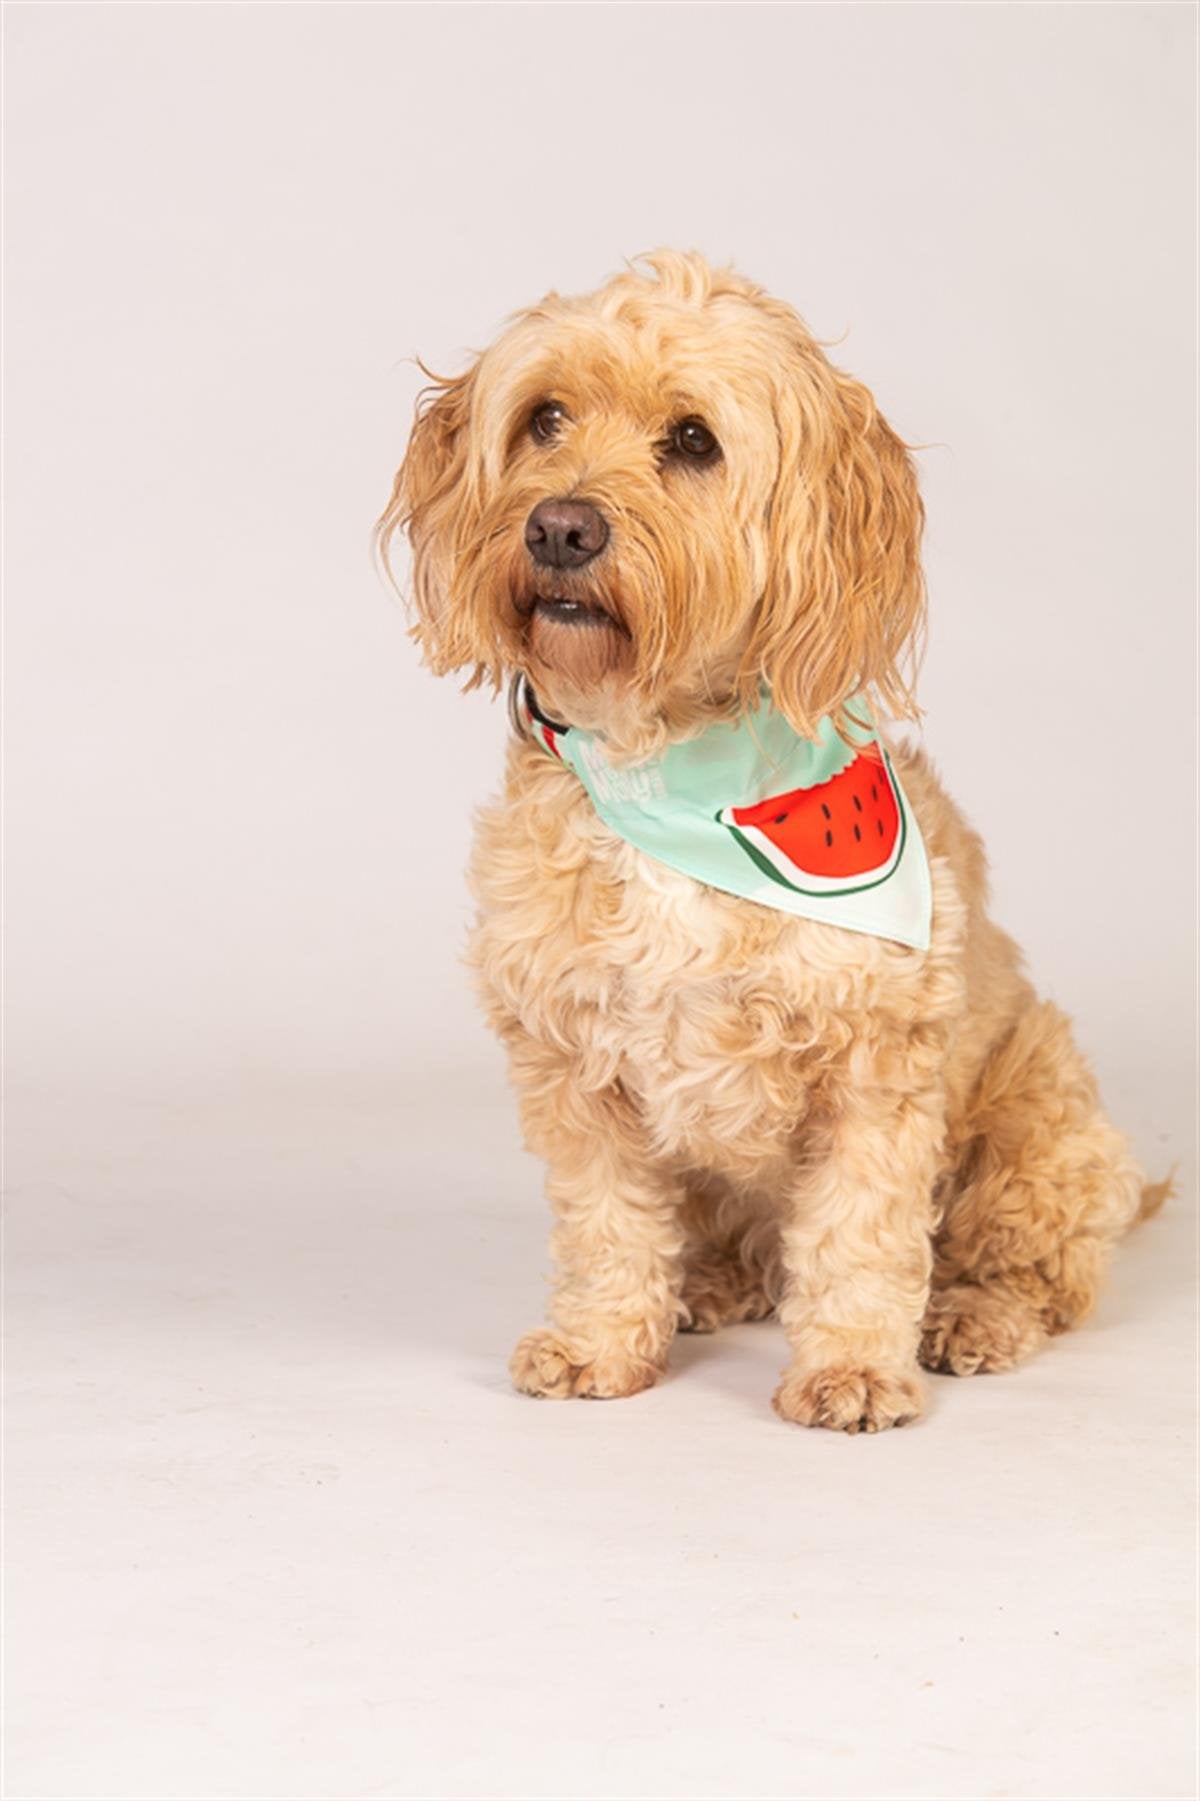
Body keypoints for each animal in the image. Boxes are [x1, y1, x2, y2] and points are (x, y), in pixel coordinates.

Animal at [376, 250, 1160, 1433]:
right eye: (545, 419)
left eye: (694, 440)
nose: (559, 527)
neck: (665, 767)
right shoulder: (573, 1063)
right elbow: (607, 1224)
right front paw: (603, 1342)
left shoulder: (874, 1070)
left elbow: (859, 1236)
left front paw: (852, 1368)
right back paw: (708, 1283)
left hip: (1040, 1125)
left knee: (1031, 1266)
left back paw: (972, 1314)